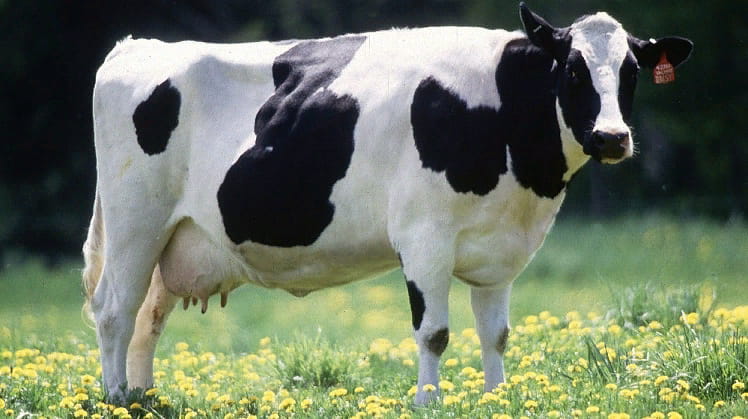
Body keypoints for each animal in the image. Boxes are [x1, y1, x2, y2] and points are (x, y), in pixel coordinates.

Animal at [82, 2, 692, 404]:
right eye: (572, 68)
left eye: (632, 71)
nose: (612, 137)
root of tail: (137, 47)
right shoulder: (424, 237)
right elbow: (434, 332)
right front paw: (429, 403)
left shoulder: (500, 250)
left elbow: (496, 333)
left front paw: (497, 399)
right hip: (135, 221)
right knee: (114, 309)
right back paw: (116, 398)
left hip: (174, 237)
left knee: (148, 317)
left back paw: (144, 398)